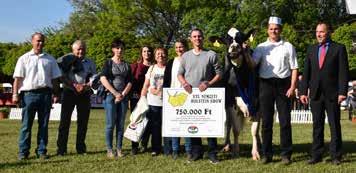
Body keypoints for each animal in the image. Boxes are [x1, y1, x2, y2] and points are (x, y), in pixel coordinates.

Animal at [209, 27, 262, 160]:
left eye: (242, 38)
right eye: (226, 40)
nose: (234, 47)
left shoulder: (258, 104)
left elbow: (255, 130)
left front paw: (255, 153)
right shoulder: (231, 105)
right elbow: (236, 130)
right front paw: (236, 152)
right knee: (228, 125)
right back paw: (227, 145)